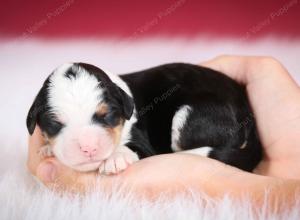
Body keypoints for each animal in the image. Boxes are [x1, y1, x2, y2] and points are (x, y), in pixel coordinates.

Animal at [27, 62, 262, 174]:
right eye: (55, 124)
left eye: (107, 116)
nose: (88, 148)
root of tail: (247, 114)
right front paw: (48, 149)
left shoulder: (143, 142)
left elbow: (133, 147)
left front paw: (116, 158)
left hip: (188, 116)